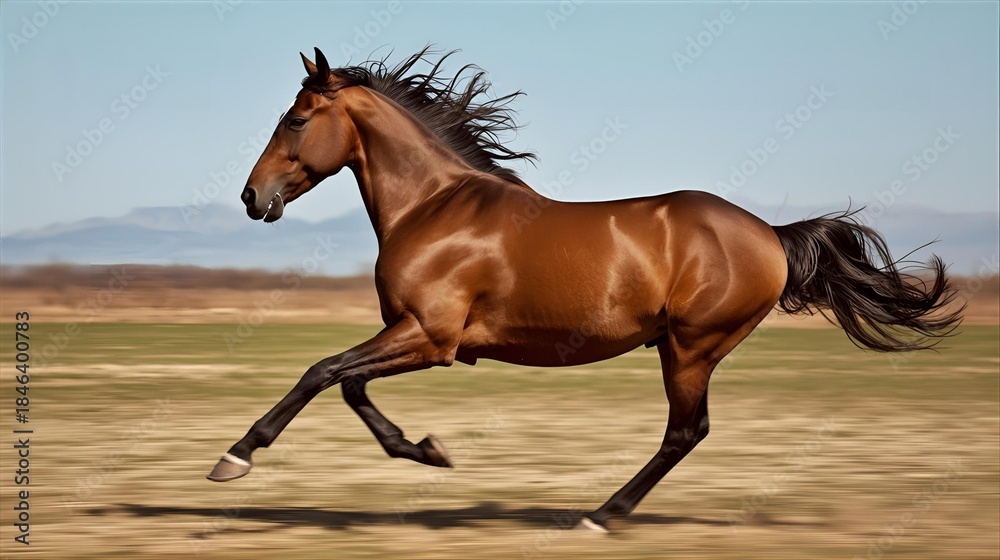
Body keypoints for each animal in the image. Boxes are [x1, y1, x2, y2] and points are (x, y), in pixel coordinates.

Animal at [208, 47, 961, 532]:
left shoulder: (431, 336)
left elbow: (323, 371)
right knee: (686, 432)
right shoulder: (414, 335)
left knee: (686, 430)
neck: (435, 209)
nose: (251, 197)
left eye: (296, 120)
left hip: (691, 347)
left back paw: (601, 515)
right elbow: (351, 385)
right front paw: (427, 450)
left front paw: (235, 457)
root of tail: (771, 234)